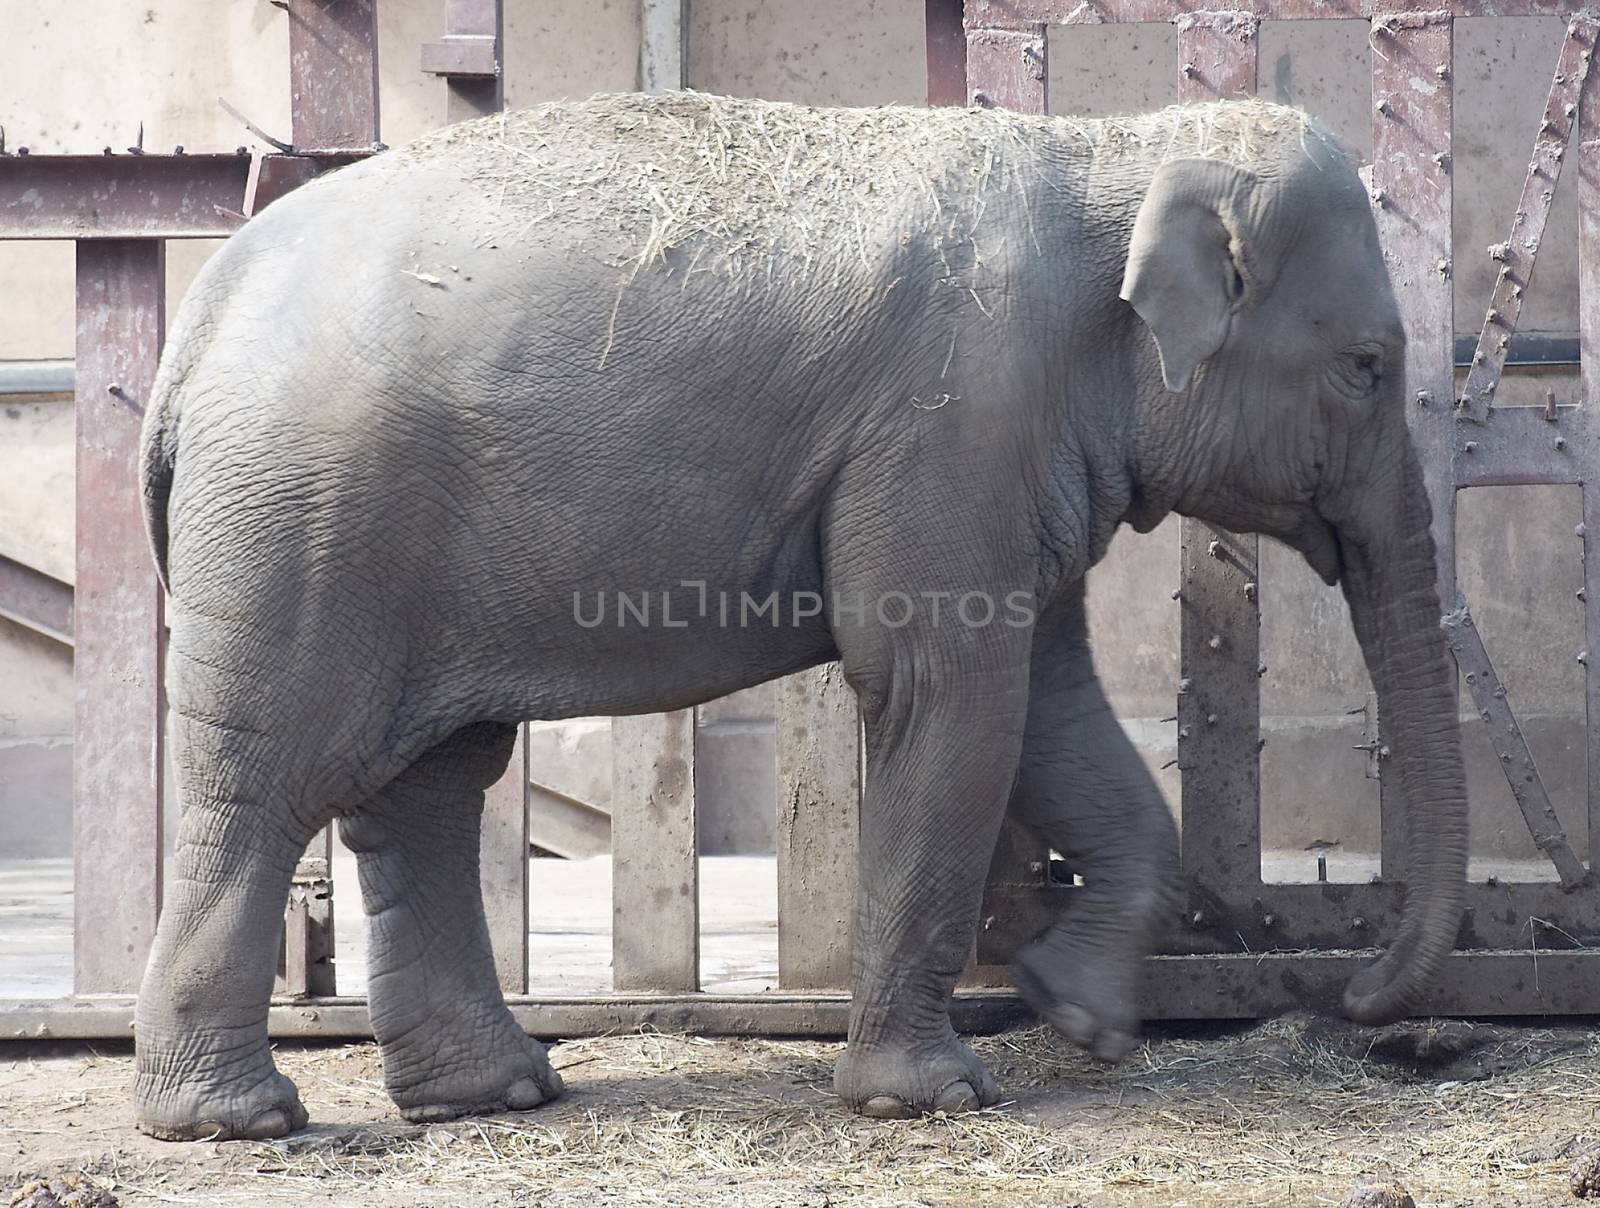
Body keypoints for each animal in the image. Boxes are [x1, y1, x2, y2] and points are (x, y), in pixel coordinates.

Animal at [131, 94, 1465, 1145]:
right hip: (303, 515)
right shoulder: (954, 421)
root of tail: (198, 322)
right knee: (268, 781)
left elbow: (1046, 698)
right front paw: (931, 1095)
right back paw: (233, 1119)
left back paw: (492, 1094)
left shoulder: (1008, 452)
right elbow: (947, 693)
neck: (1116, 148)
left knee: (432, 783)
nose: (1359, 1005)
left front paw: (1080, 1012)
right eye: (1365, 367)